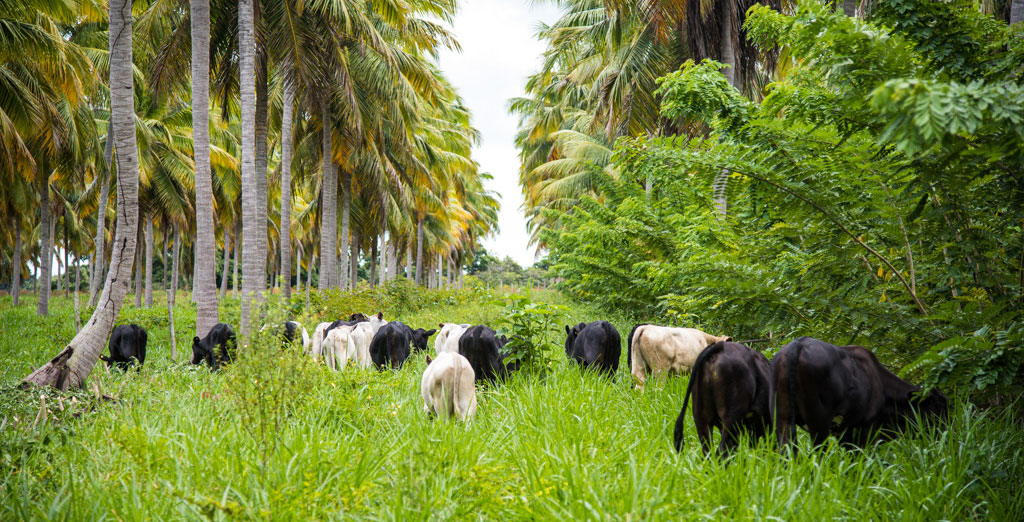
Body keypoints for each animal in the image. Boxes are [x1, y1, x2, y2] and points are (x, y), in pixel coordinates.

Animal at [770, 335, 946, 450]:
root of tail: (797, 345)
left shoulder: (846, 433)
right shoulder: (864, 430)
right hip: (818, 423)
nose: (947, 433)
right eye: (938, 407)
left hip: (783, 420)